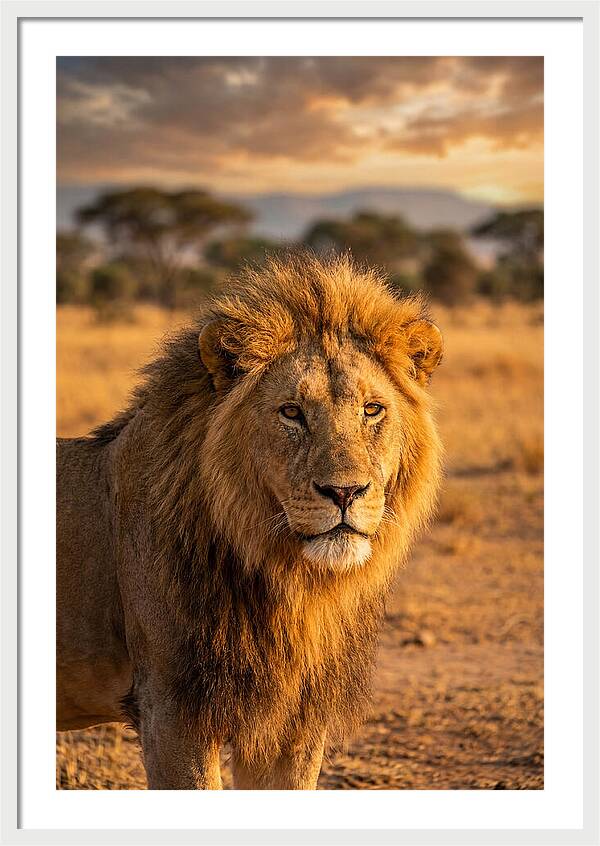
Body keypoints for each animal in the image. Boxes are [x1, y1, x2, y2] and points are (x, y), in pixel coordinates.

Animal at [57, 252, 443, 789]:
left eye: (372, 409)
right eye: (291, 412)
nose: (344, 492)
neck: (290, 583)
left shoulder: (293, 722)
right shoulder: (171, 711)